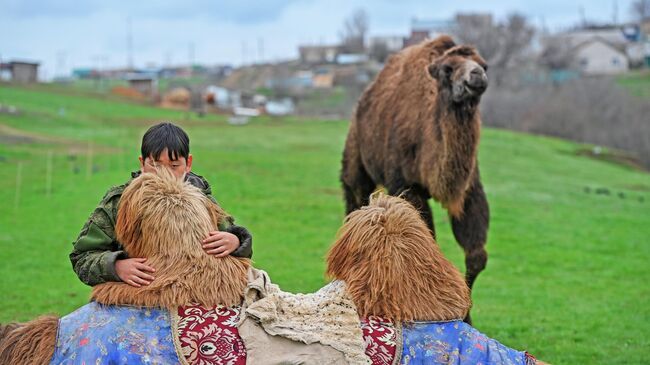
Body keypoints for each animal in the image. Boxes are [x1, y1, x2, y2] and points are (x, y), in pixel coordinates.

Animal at [342, 34, 488, 316]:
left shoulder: (469, 188)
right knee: (353, 197)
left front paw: (465, 315)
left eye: (484, 64)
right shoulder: (407, 185)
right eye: (448, 69)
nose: (476, 76)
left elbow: (477, 256)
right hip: (355, 156)